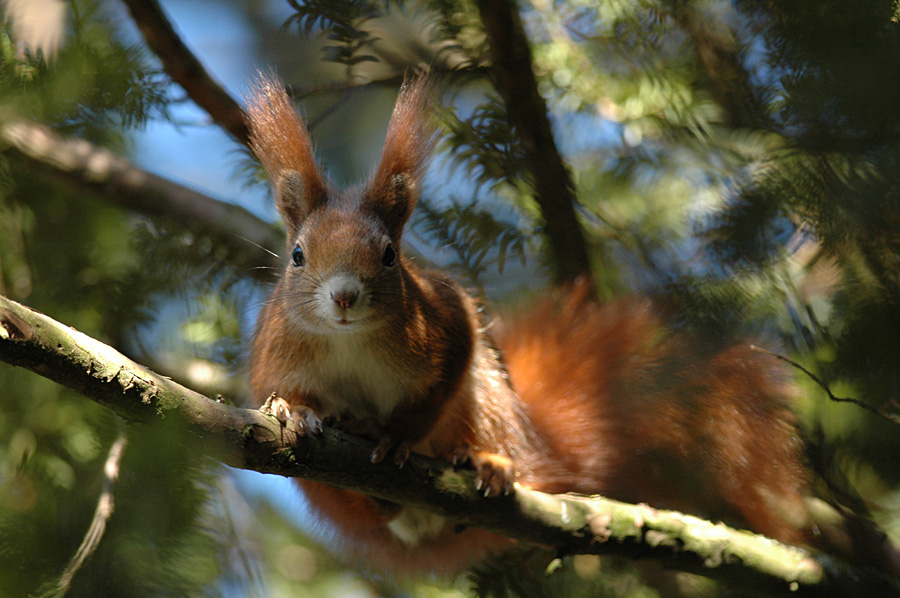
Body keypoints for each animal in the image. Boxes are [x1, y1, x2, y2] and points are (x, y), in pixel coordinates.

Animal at [243, 74, 820, 576]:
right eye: (297, 255)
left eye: (389, 255)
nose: (344, 296)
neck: (350, 341)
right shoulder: (277, 352)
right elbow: (279, 390)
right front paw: (296, 410)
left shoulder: (447, 324)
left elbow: (440, 384)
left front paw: (398, 435)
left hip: (488, 401)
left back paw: (485, 462)